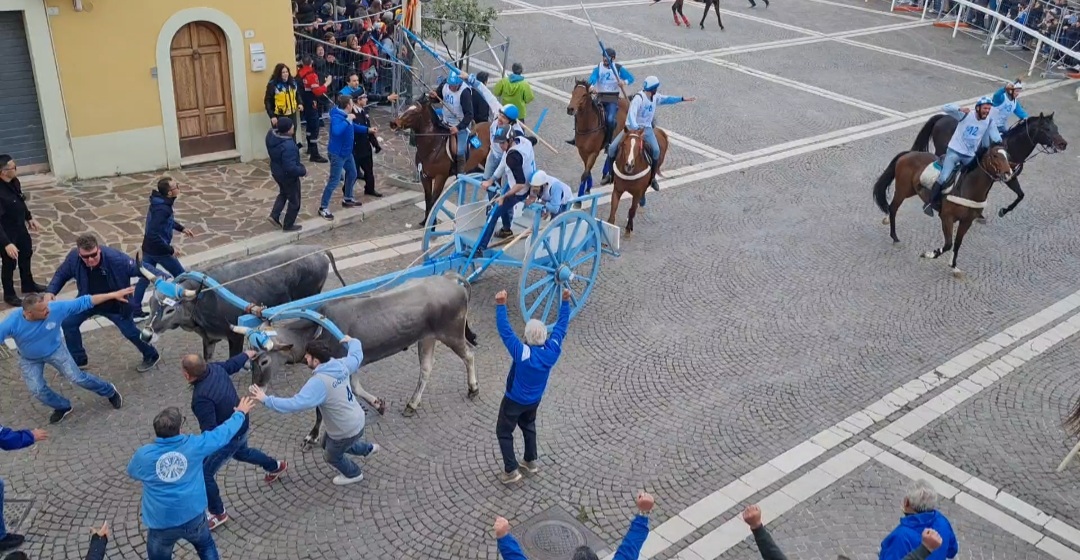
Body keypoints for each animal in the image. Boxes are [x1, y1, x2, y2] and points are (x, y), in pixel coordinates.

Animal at [868, 143, 1010, 276]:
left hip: (911, 191)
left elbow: (957, 243)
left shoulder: (967, 221)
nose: (1008, 173)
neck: (968, 187)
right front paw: (929, 254)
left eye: (1007, 156)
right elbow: (948, 244)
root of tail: (909, 154)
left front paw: (954, 266)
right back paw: (895, 237)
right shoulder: (947, 217)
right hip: (903, 190)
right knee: (893, 208)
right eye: (995, 156)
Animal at [907, 112, 1067, 217]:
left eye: (1056, 127)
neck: (1011, 147)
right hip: (942, 151)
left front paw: (1003, 211)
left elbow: (1020, 195)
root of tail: (943, 117)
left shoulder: (1008, 177)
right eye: (1046, 129)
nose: (1063, 144)